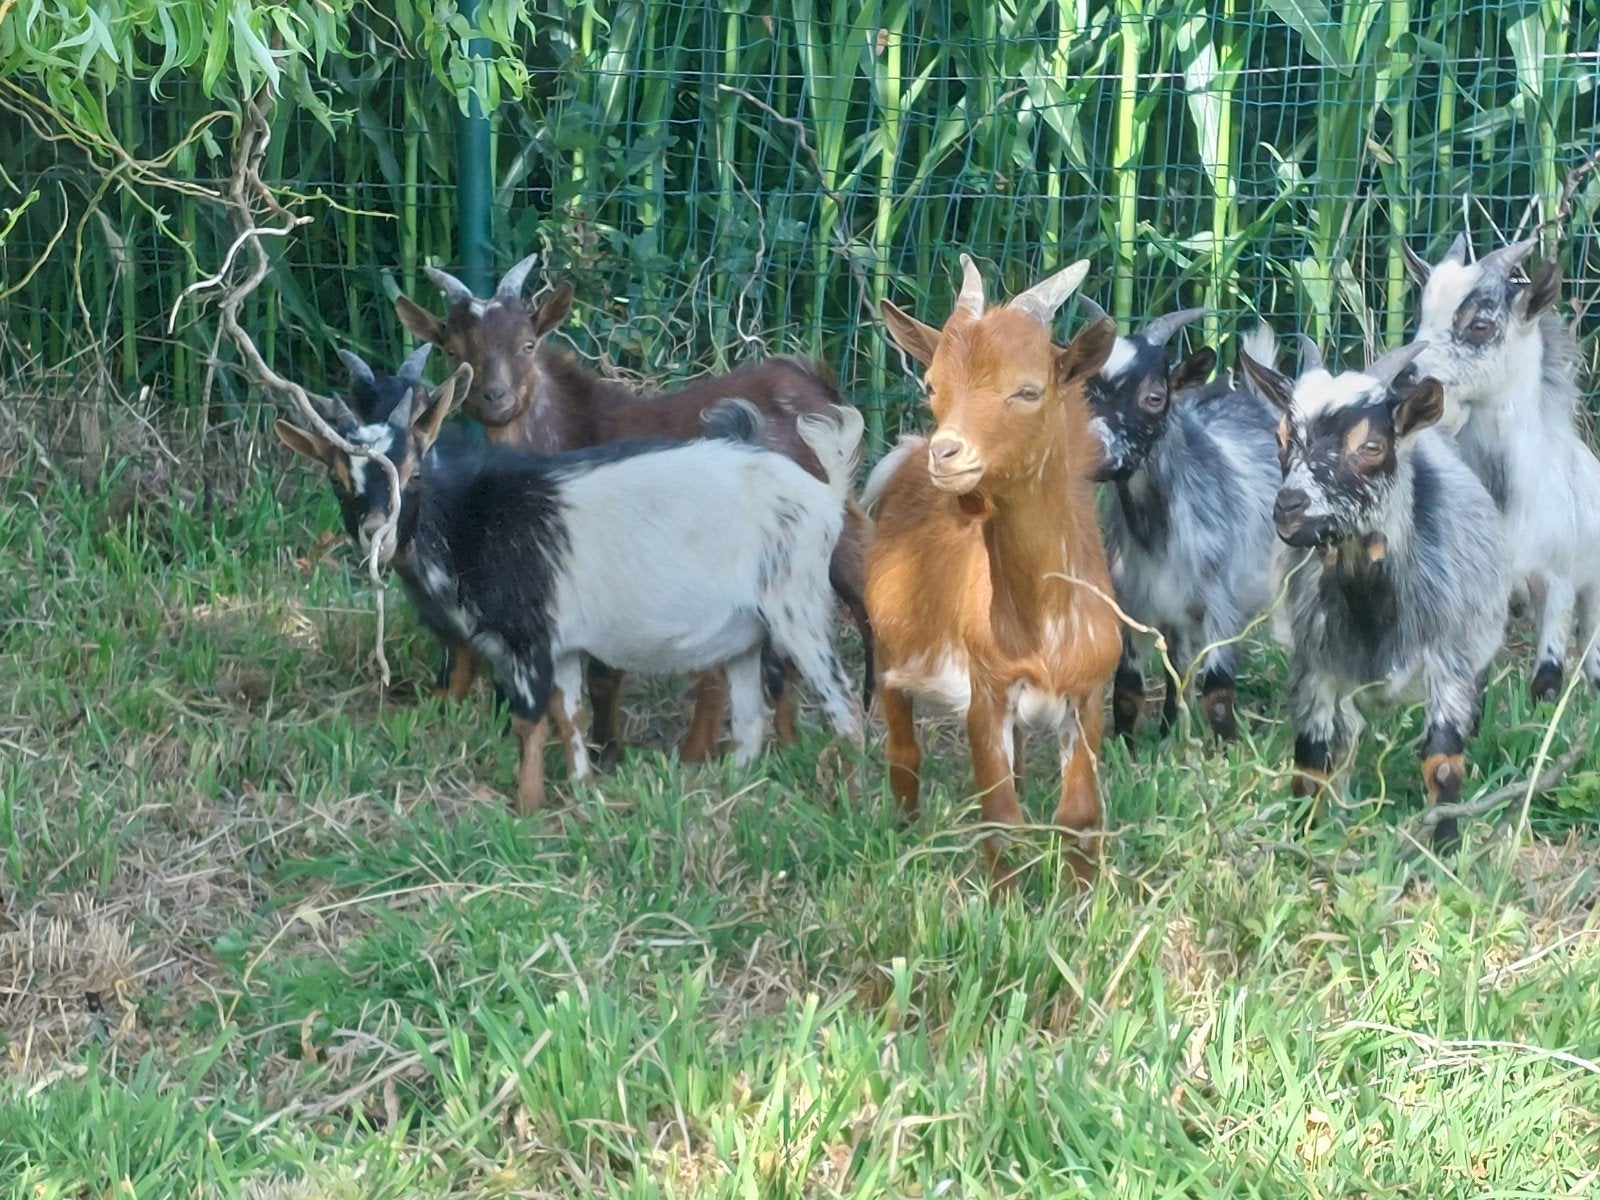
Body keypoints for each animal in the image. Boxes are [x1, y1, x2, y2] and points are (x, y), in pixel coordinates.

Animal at [276, 365, 866, 813]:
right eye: (337, 480)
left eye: (413, 470)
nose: (378, 534)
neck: (472, 520)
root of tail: (823, 494)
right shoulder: (562, 646)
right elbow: (570, 714)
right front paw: (582, 787)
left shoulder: (526, 638)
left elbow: (530, 721)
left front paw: (527, 806)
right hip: (747, 632)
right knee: (748, 723)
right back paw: (726, 791)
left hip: (796, 607)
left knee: (844, 706)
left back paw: (854, 798)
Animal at [395, 254, 872, 764]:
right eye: (453, 350)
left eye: (528, 343)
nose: (495, 397)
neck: (571, 427)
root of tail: (817, 383)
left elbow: (605, 674)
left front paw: (609, 749)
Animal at [864, 255, 1120, 889]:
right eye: (932, 385)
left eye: (1028, 390)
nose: (947, 453)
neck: (1043, 624)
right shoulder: (986, 690)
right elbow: (1000, 814)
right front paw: (1005, 901)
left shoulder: (1087, 693)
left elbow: (1079, 814)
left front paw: (1082, 898)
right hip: (886, 651)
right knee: (903, 752)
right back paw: (904, 830)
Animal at [1082, 301, 1283, 740]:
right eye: (1085, 392)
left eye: (1155, 397)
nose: (1094, 454)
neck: (1156, 535)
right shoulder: (1132, 602)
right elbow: (1127, 691)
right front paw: (1128, 747)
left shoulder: (1221, 605)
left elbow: (1219, 695)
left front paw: (1227, 753)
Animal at [1240, 339, 1511, 847]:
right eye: (1282, 436)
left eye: (1371, 446)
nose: (1289, 506)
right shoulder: (1316, 663)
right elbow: (1312, 756)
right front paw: (1304, 834)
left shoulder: (1448, 659)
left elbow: (1442, 762)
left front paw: (1444, 845)